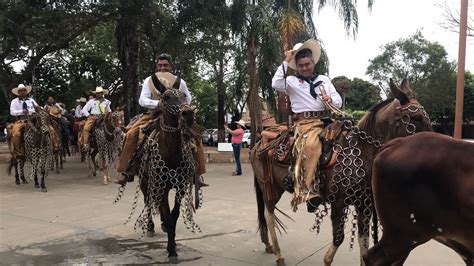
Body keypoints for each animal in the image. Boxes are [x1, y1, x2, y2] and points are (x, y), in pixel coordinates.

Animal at [118, 89, 200, 262]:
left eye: (184, 95)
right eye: (166, 97)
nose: (188, 113)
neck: (171, 153)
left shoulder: (180, 187)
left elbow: (173, 216)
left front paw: (173, 245)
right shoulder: (158, 184)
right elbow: (166, 214)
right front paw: (171, 250)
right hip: (145, 181)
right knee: (148, 201)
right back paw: (150, 227)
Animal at [252, 78, 434, 264]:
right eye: (416, 118)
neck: (361, 153)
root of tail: (260, 141)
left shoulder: (364, 205)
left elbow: (364, 241)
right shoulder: (339, 203)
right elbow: (338, 238)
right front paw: (327, 259)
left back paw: (269, 245)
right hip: (270, 187)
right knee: (269, 213)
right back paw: (278, 254)